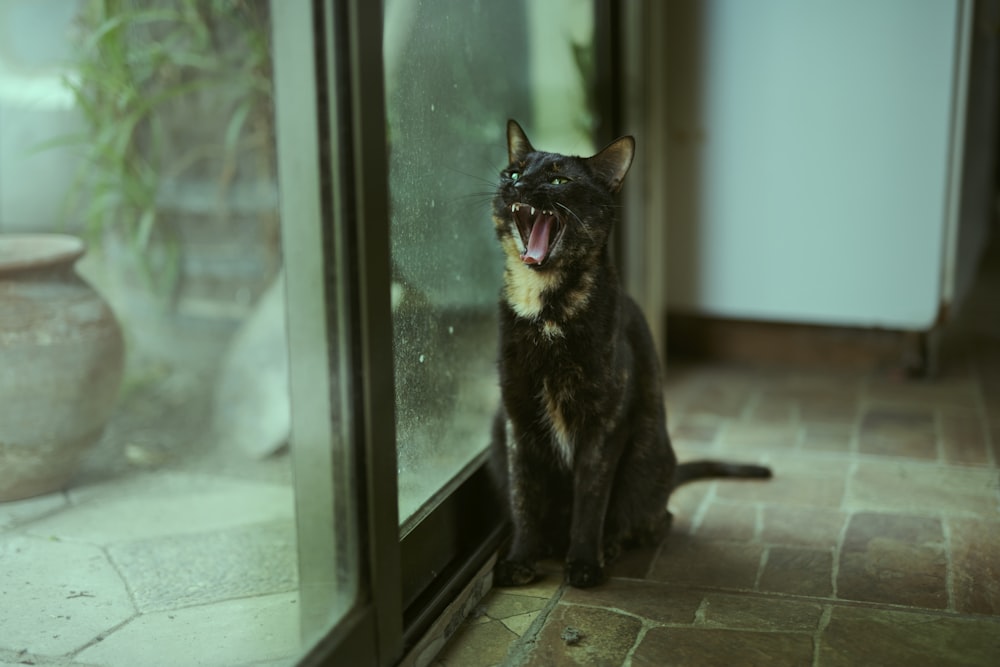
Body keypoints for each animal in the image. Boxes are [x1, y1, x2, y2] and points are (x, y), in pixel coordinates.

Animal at [488, 120, 768, 588]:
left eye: (559, 180)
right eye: (512, 172)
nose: (518, 186)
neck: (545, 310)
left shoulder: (605, 425)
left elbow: (591, 500)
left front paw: (585, 562)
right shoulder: (518, 418)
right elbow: (524, 495)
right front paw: (521, 558)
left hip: (645, 455)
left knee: (657, 518)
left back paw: (613, 543)